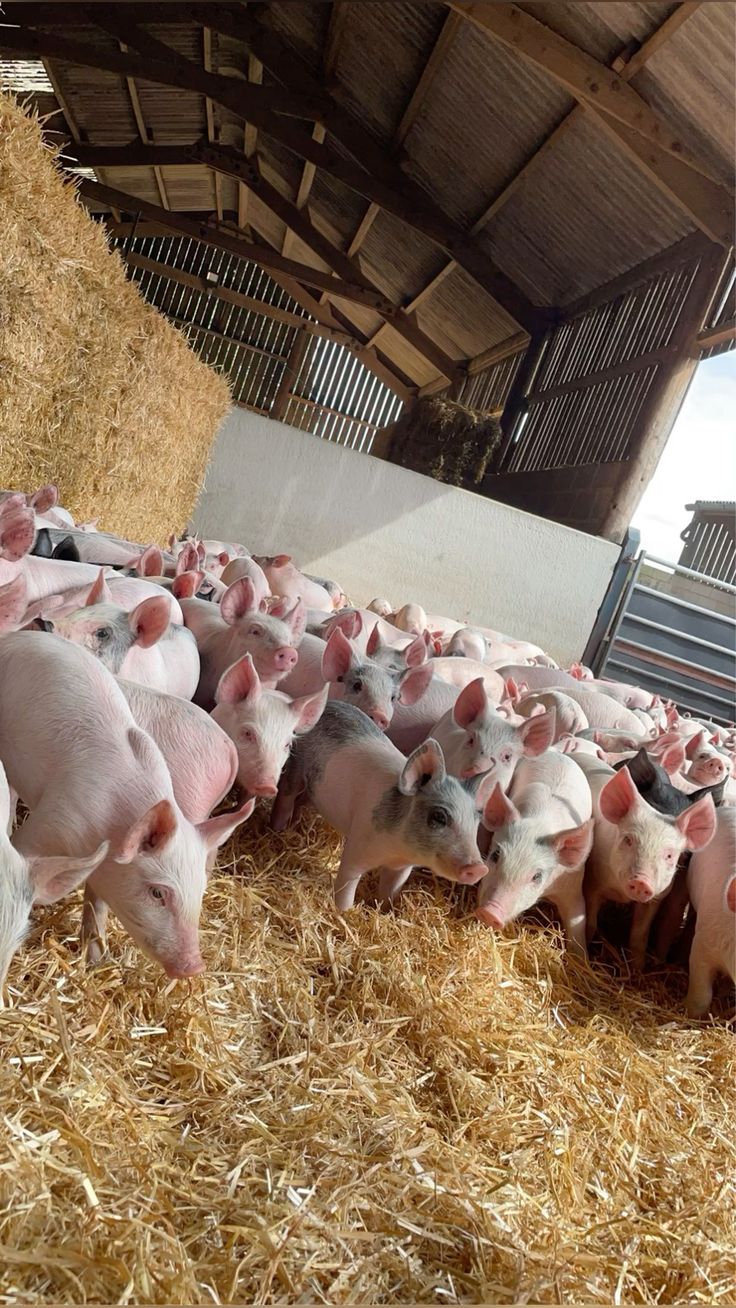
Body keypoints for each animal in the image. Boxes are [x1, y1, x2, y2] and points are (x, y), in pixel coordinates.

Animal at [271, 702, 491, 909]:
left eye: (477, 819)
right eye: (439, 816)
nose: (480, 868)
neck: (396, 849)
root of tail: (330, 703)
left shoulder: (402, 868)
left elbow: (390, 891)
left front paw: (385, 910)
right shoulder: (358, 845)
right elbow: (347, 883)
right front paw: (343, 912)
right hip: (296, 767)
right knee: (286, 796)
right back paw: (279, 830)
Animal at [475, 752, 594, 956]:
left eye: (537, 876)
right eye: (496, 855)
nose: (489, 912)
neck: (541, 823)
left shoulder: (573, 885)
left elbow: (577, 922)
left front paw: (582, 960)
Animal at [576, 756, 717, 966]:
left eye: (669, 855)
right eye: (628, 840)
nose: (641, 881)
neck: (621, 894)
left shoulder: (655, 898)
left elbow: (639, 935)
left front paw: (638, 968)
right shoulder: (593, 882)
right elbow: (590, 923)